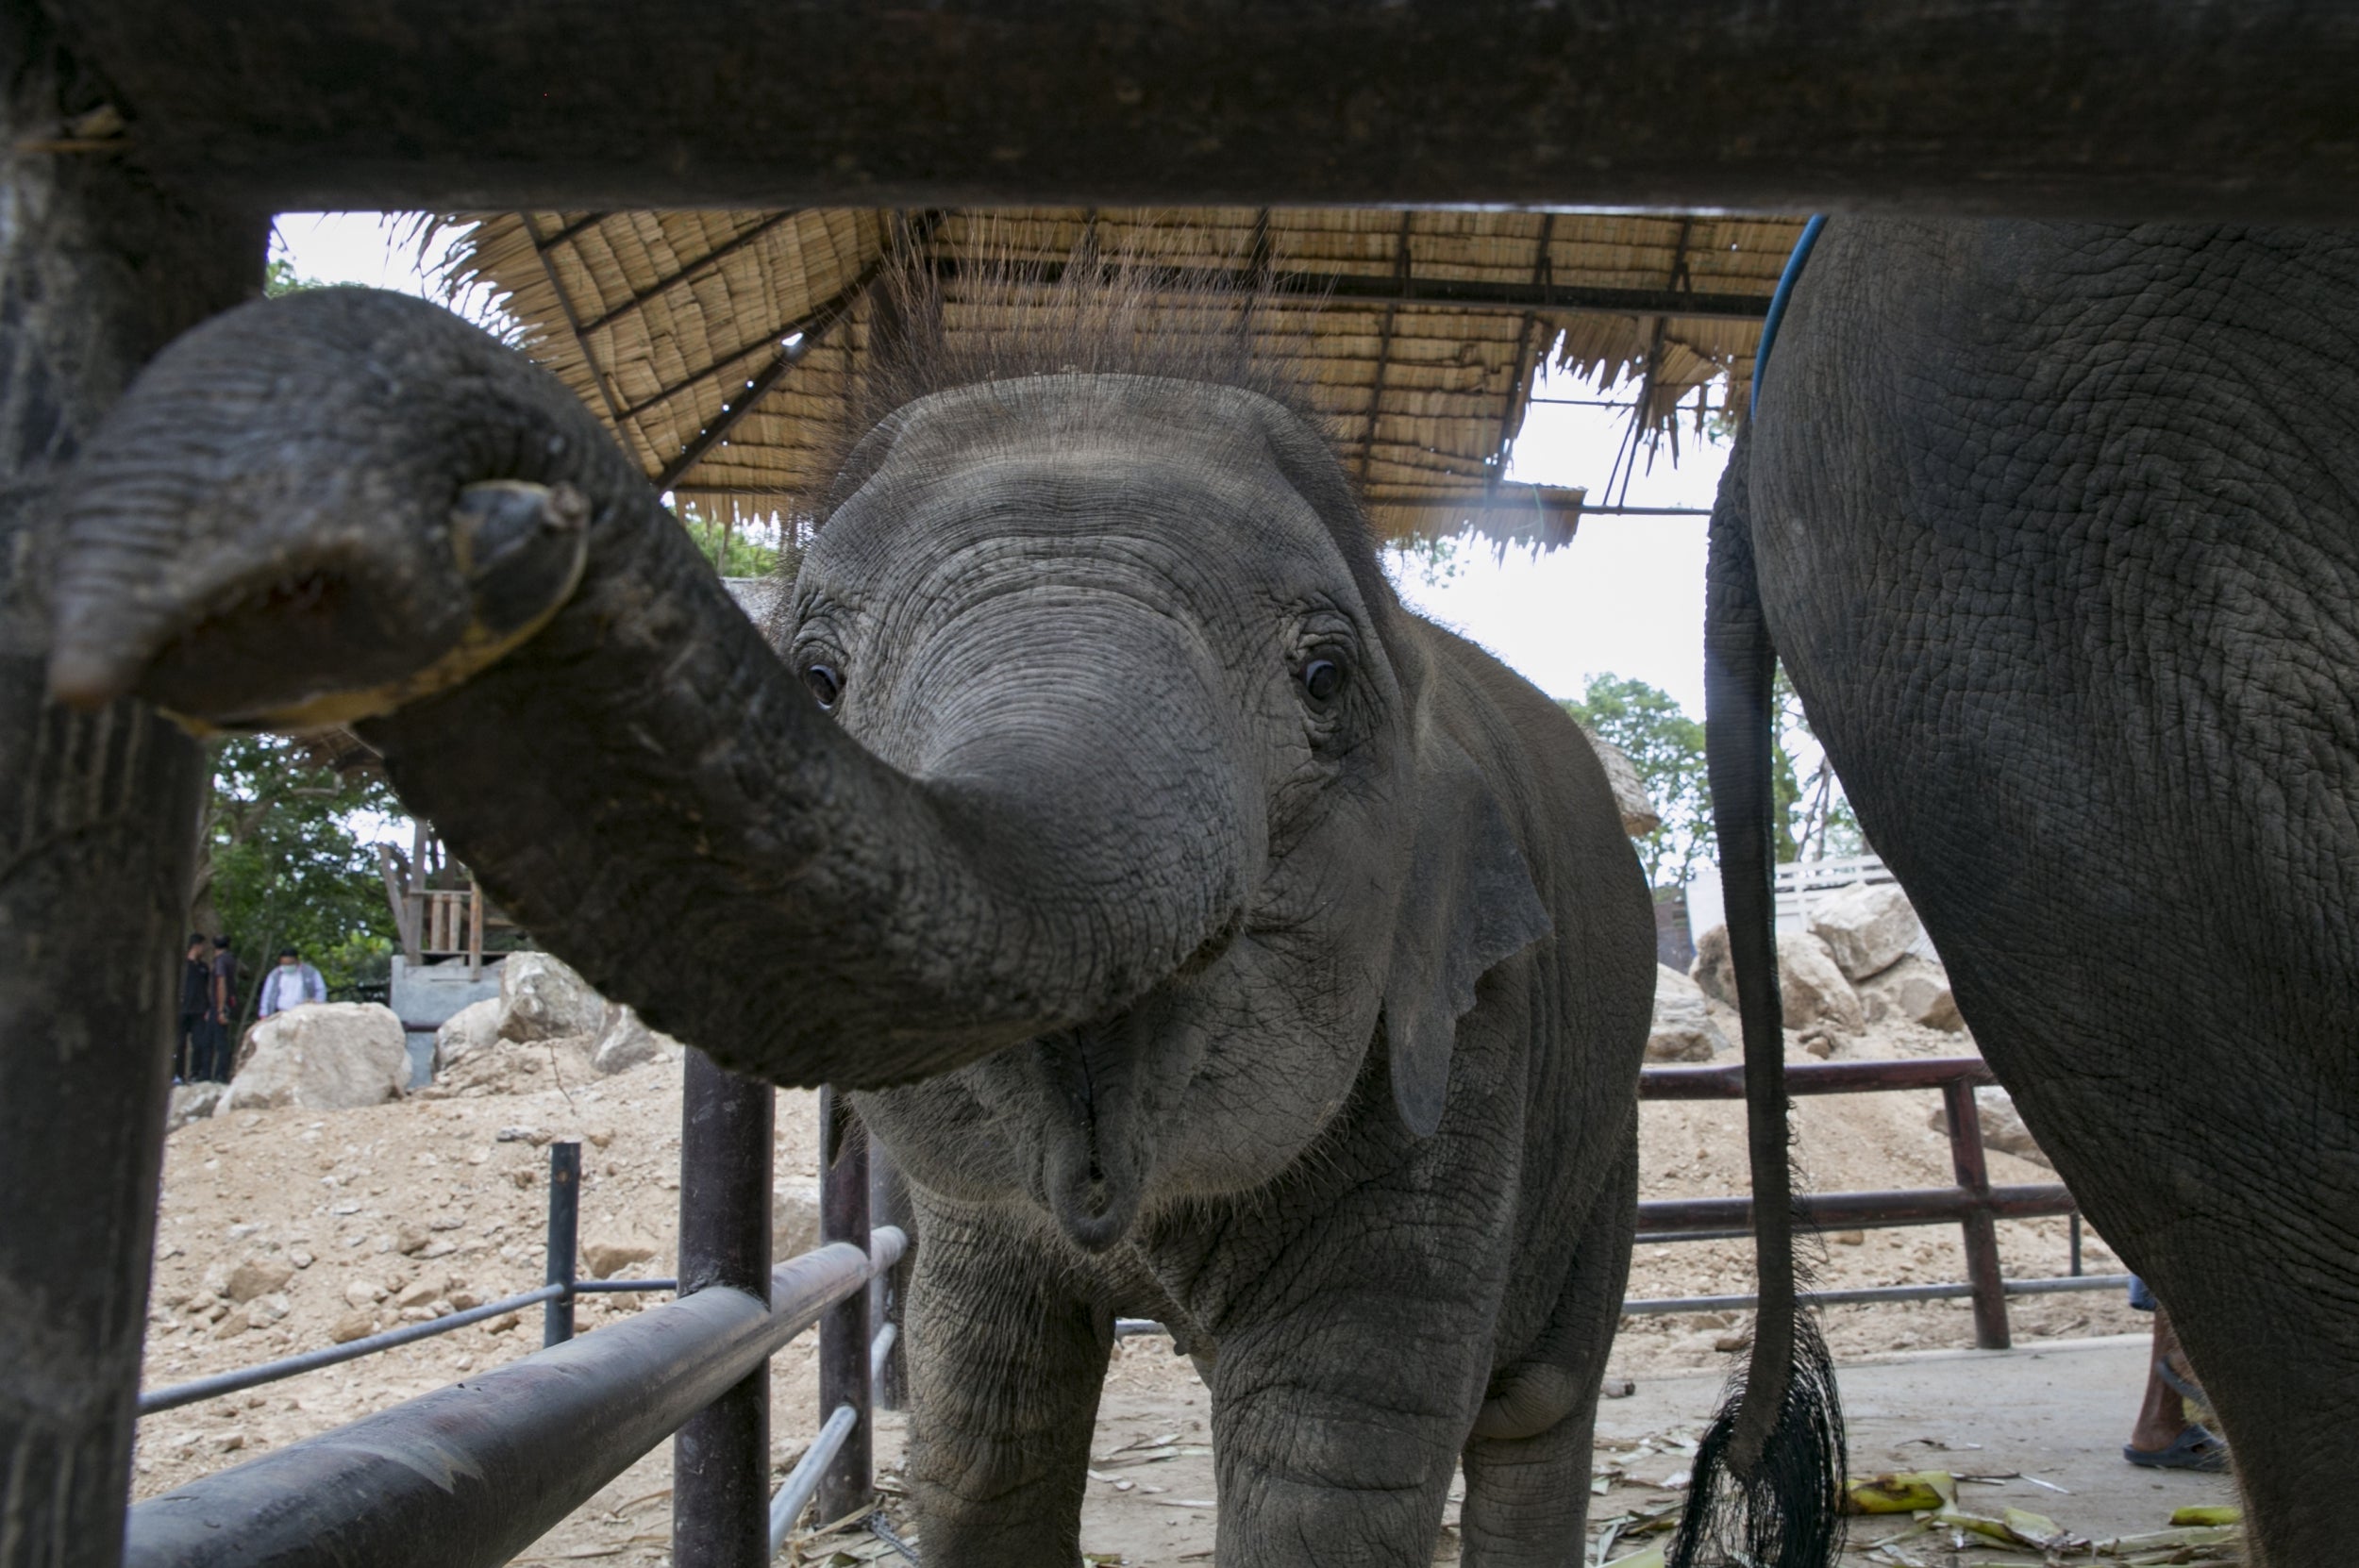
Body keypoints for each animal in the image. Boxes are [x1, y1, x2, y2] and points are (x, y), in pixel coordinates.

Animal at [44, 279, 1674, 1566]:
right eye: (817, 677)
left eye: (1327, 680)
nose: (489, 518)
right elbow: (979, 1434)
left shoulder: (1470, 1045)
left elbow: (1327, 1479)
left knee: (1533, 1411)